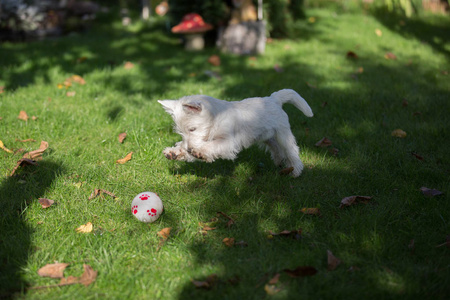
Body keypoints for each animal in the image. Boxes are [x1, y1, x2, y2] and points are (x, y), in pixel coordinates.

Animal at [158, 88, 312, 177]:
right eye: (181, 132)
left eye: (192, 129)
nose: (189, 149)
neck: (215, 119)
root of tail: (273, 99)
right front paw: (175, 152)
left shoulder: (228, 142)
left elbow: (211, 146)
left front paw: (199, 152)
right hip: (267, 136)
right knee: (276, 148)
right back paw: (279, 161)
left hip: (283, 134)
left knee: (292, 150)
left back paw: (295, 171)